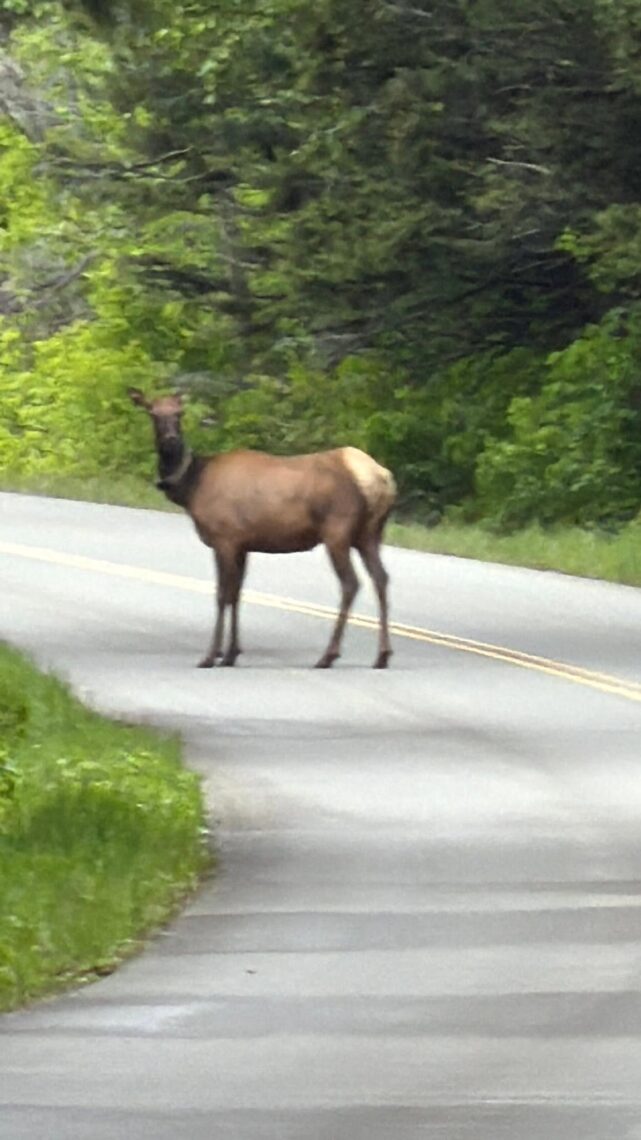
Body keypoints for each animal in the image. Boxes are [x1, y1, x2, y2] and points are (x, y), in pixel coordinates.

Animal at [128, 389, 396, 669]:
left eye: (179, 413)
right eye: (153, 413)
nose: (170, 440)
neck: (192, 488)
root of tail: (380, 477)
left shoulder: (224, 538)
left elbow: (222, 594)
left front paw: (211, 655)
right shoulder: (242, 544)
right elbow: (237, 594)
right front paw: (231, 653)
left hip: (337, 531)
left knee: (350, 583)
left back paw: (328, 655)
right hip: (369, 534)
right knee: (381, 578)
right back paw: (382, 654)